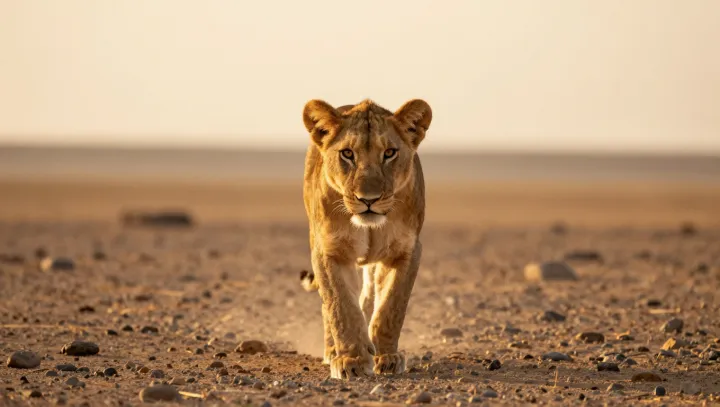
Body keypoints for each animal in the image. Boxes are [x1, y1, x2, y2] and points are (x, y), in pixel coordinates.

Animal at [300, 98, 432, 379]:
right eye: (348, 154)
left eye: (389, 153)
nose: (368, 199)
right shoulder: (330, 251)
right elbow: (341, 307)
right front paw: (352, 361)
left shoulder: (406, 251)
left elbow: (391, 307)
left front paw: (387, 357)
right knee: (330, 306)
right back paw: (332, 351)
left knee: (368, 297)